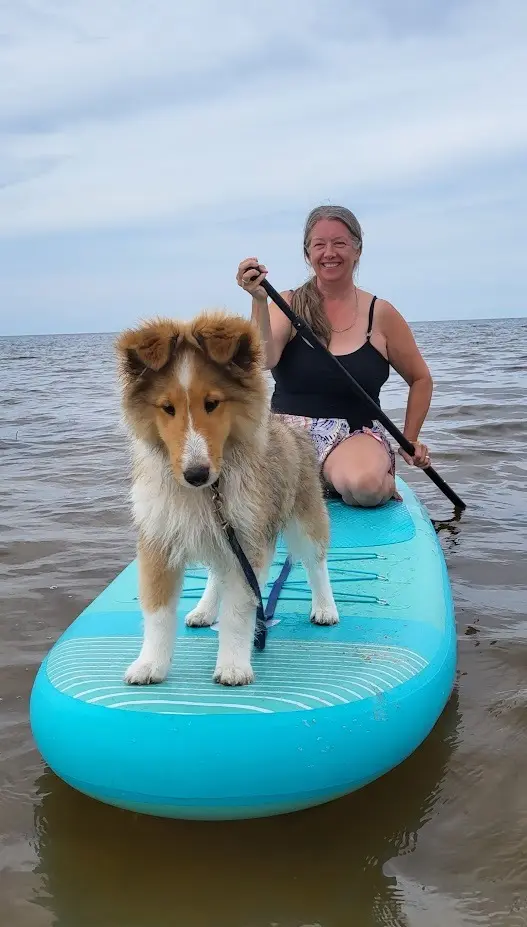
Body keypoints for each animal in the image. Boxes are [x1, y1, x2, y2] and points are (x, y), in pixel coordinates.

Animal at [115, 316, 338, 684]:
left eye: (212, 403)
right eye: (167, 408)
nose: (196, 473)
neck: (207, 493)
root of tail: (289, 425)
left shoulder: (248, 540)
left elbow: (237, 611)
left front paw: (233, 666)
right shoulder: (158, 540)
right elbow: (158, 611)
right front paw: (150, 664)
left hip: (304, 513)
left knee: (315, 561)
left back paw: (324, 607)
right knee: (215, 574)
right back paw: (204, 609)